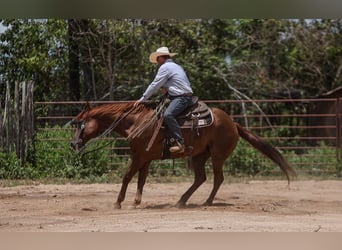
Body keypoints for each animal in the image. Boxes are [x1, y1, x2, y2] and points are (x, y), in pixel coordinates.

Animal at [71, 101, 296, 209]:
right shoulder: (145, 157)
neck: (136, 121)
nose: (73, 144)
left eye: (81, 123)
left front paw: (118, 202)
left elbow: (127, 177)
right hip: (198, 156)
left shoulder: (139, 156)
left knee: (217, 178)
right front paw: (136, 202)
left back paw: (207, 202)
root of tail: (233, 123)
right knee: (200, 178)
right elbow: (141, 179)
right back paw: (181, 201)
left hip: (217, 156)